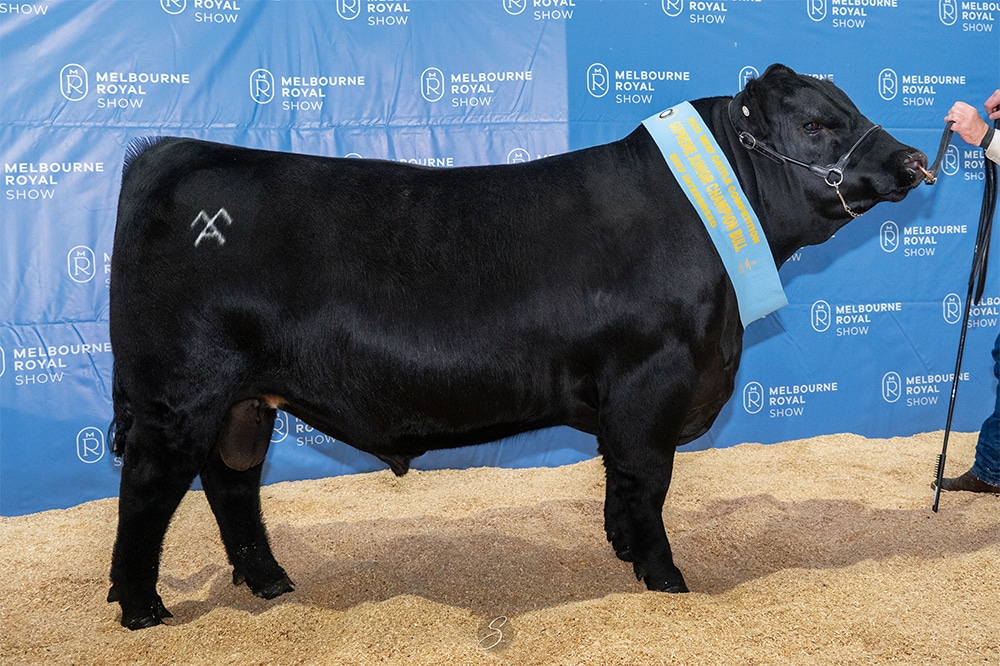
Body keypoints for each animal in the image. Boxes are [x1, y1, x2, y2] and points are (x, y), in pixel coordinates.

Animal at [105, 65, 924, 624]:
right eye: (816, 125)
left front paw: (623, 555)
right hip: (180, 392)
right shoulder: (649, 384)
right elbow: (647, 482)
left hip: (243, 400)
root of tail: (168, 152)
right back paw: (141, 607)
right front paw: (665, 581)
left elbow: (619, 483)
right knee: (149, 487)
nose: (914, 159)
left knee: (231, 484)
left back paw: (270, 582)